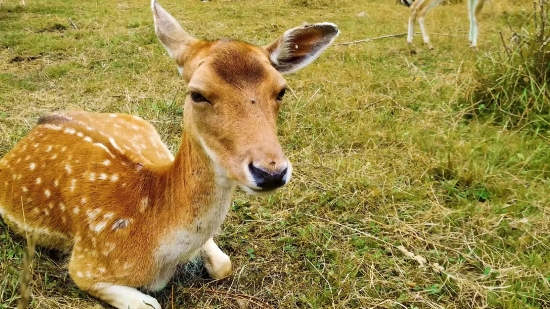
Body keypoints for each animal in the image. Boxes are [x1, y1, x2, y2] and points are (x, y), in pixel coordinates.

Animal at [0, 1, 340, 306]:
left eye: (281, 90)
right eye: (197, 94)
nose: (270, 171)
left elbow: (224, 264)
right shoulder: (85, 265)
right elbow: (150, 303)